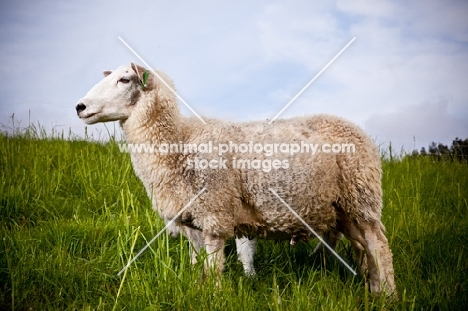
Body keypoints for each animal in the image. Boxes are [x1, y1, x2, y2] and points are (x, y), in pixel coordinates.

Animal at [75, 62, 396, 298]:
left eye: (125, 79)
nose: (80, 106)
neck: (180, 143)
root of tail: (355, 128)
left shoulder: (215, 213)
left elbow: (214, 265)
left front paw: (214, 296)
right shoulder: (192, 219)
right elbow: (197, 262)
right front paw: (197, 290)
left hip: (361, 195)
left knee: (378, 245)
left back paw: (388, 295)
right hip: (342, 208)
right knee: (363, 247)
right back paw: (372, 289)